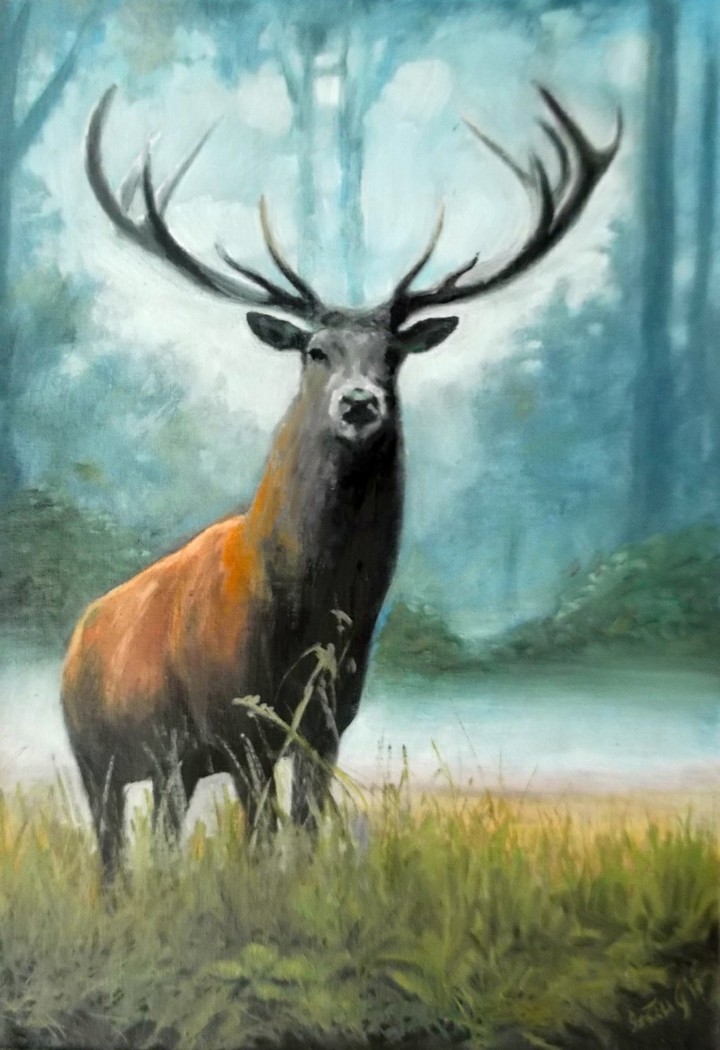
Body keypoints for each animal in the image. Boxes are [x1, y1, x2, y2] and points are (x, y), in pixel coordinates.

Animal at [62, 85, 620, 880]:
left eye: (393, 354)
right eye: (316, 351)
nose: (360, 403)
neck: (307, 619)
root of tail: (78, 635)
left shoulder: (327, 723)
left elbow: (302, 830)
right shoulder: (240, 720)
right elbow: (260, 839)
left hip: (172, 766)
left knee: (158, 839)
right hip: (100, 755)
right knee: (111, 857)